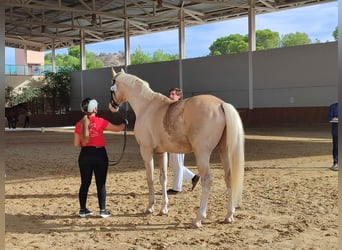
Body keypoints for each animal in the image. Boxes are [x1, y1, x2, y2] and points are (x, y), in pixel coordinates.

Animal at [108, 68, 244, 229]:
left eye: (111, 88)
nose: (112, 106)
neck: (147, 106)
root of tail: (221, 104)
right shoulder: (162, 152)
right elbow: (163, 178)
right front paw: (163, 209)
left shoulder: (146, 151)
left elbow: (150, 178)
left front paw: (150, 207)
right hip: (223, 150)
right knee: (229, 177)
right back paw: (229, 215)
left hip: (202, 154)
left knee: (207, 180)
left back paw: (198, 219)